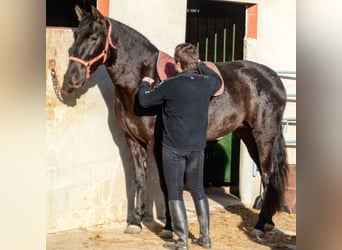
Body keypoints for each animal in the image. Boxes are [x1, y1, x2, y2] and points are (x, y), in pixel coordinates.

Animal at [60, 5, 288, 236]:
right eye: (76, 35)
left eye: (94, 37)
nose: (71, 78)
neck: (140, 81)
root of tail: (272, 77)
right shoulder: (132, 140)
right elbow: (140, 179)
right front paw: (136, 222)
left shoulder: (159, 143)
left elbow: (165, 182)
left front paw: (170, 226)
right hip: (247, 134)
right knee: (266, 175)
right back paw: (268, 222)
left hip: (263, 136)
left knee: (268, 175)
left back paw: (260, 226)